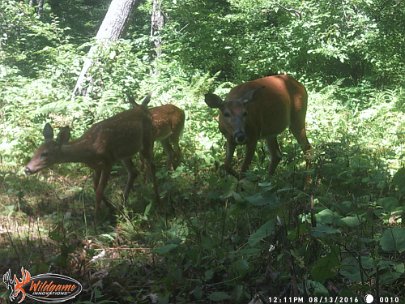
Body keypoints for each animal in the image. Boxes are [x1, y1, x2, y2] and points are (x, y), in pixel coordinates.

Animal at [24, 101, 159, 222]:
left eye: (45, 154)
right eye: (36, 151)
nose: (27, 169)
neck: (88, 150)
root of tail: (144, 110)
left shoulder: (107, 162)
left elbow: (99, 190)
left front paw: (96, 220)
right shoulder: (96, 166)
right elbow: (95, 187)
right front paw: (110, 208)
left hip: (147, 140)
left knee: (152, 165)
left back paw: (157, 199)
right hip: (124, 154)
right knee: (133, 172)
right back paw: (122, 206)